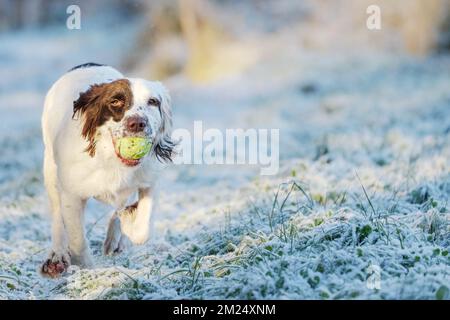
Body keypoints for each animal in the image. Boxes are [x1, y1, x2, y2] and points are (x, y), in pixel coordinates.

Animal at [40, 63, 174, 278]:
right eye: (115, 101)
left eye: (153, 101)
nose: (137, 123)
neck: (112, 162)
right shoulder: (71, 194)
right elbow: (77, 240)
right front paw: (88, 272)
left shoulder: (150, 181)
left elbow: (142, 229)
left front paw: (128, 221)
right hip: (50, 170)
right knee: (57, 215)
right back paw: (56, 257)